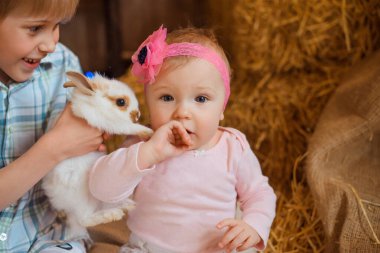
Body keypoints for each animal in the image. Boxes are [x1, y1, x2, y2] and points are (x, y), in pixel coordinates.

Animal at [42, 70, 153, 239]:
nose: (137, 115)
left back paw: (126, 205)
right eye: (121, 102)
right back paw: (112, 214)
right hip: (83, 199)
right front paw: (147, 131)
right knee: (84, 219)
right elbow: (127, 127)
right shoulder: (109, 122)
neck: (95, 104)